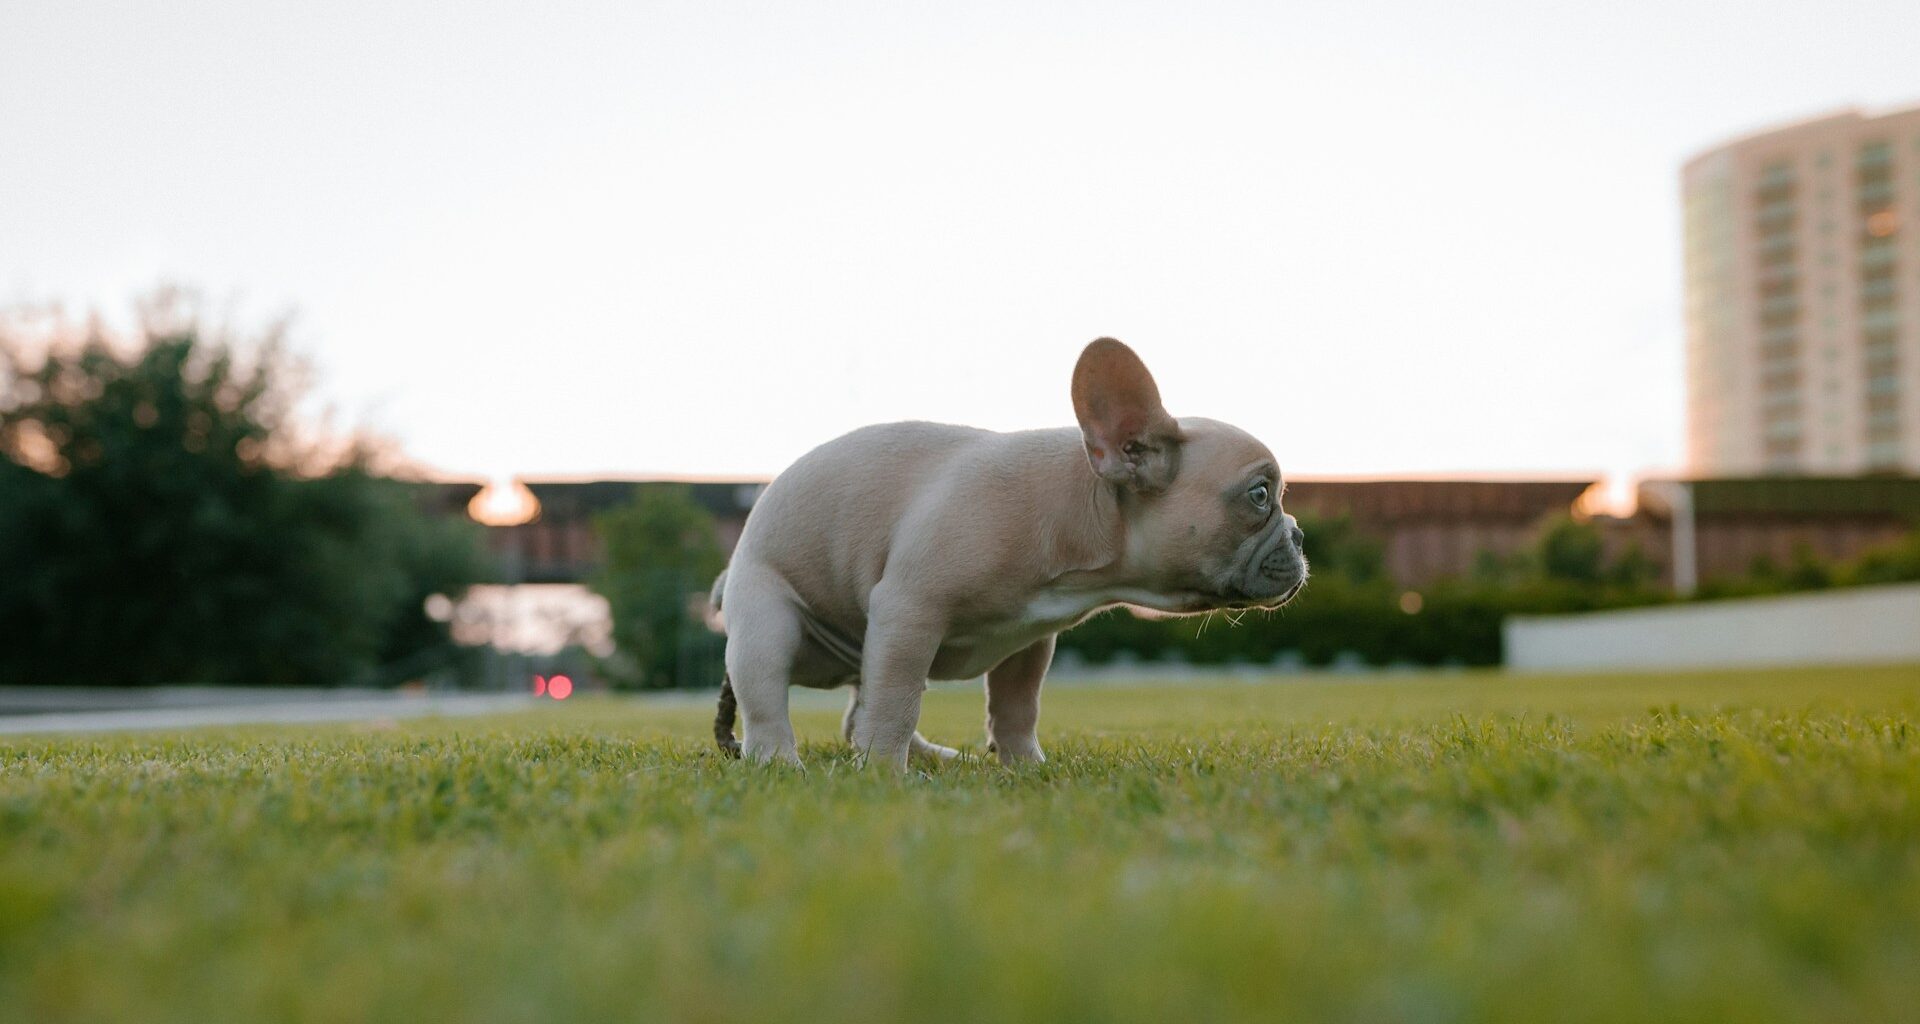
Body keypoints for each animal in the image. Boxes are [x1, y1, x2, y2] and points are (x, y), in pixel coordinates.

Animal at [714, 336, 1313, 768]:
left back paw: (930, 756)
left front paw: (1026, 766)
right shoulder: (910, 611)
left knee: (861, 701)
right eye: (1260, 495)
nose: (1300, 535)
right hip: (768, 619)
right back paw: (781, 762)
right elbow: (896, 702)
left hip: (865, 644)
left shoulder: (1029, 639)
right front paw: (884, 772)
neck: (1081, 507)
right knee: (769, 698)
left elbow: (1016, 708)